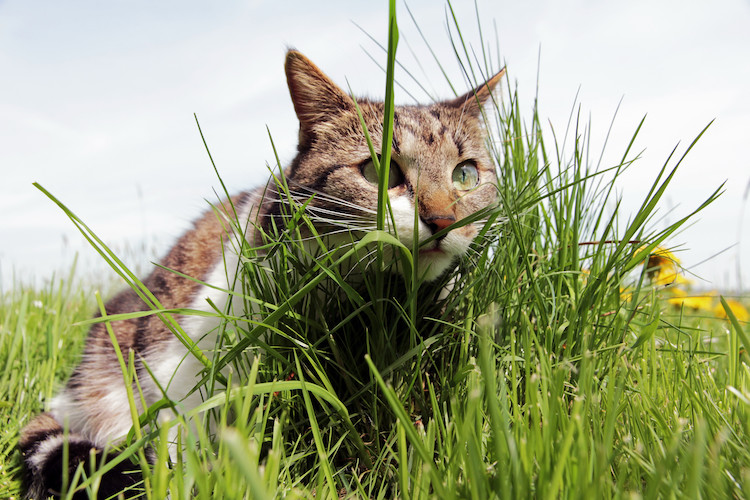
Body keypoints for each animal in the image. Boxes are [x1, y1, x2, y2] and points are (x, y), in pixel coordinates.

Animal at [20, 49, 508, 496]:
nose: (444, 220)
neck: (362, 294)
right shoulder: (187, 363)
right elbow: (182, 438)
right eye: (377, 171)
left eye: (465, 174)